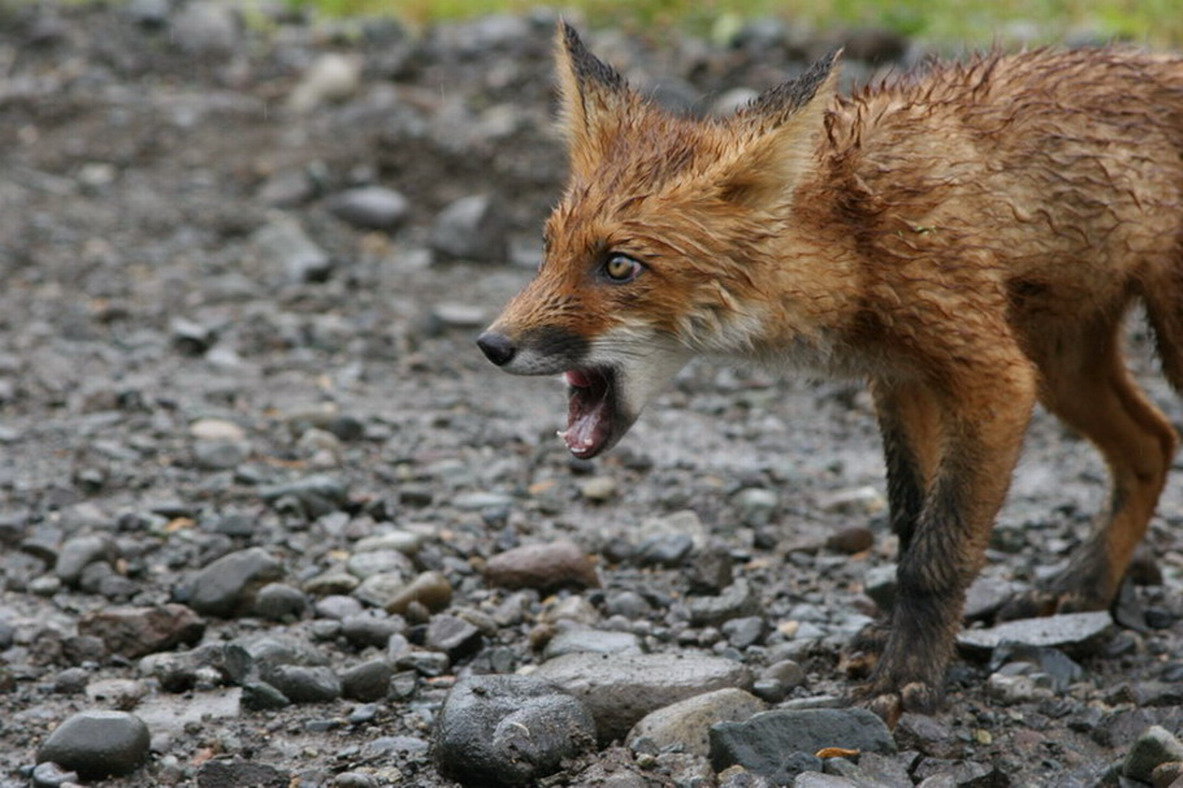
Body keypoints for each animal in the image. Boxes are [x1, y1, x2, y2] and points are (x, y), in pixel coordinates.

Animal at [477, 23, 1183, 720]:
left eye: (620, 265)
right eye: (548, 248)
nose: (491, 345)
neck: (858, 241)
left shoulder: (993, 378)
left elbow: (937, 554)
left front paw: (910, 675)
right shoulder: (901, 379)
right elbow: (908, 525)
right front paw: (898, 643)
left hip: (1136, 354)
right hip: (1063, 366)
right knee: (1153, 443)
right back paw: (1088, 585)